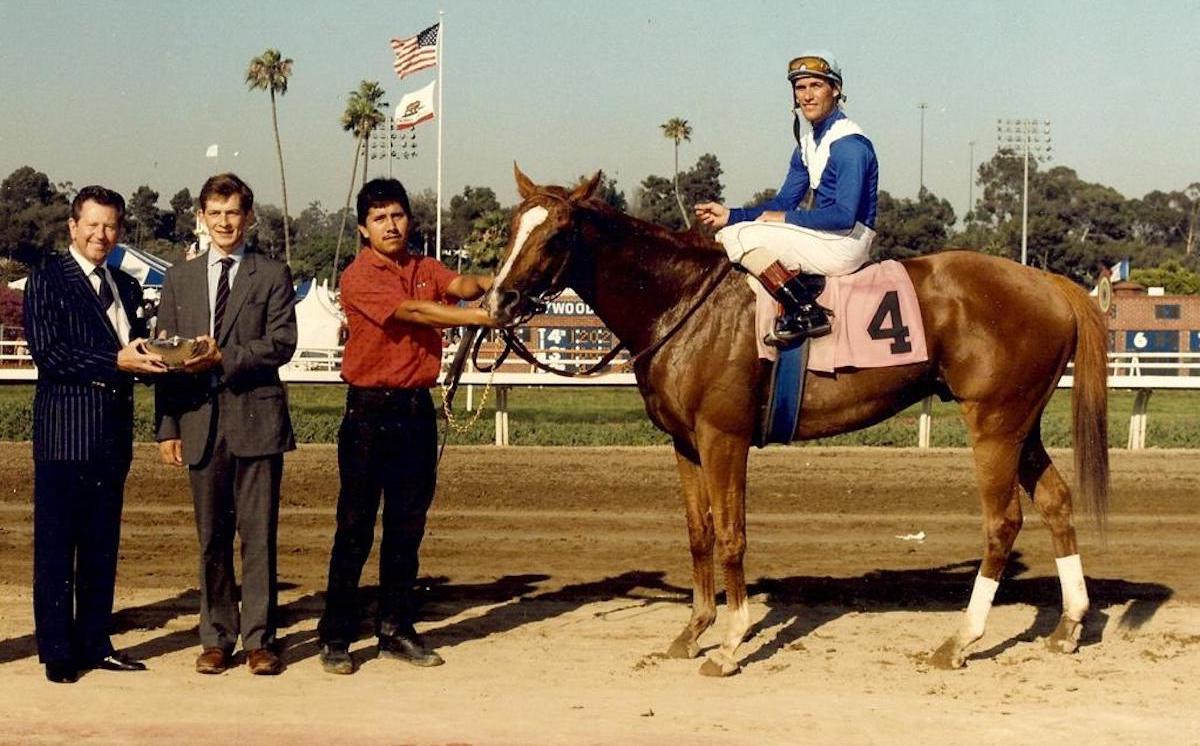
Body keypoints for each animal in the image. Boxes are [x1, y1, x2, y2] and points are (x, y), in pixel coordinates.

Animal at [484, 167, 1104, 676]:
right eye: (513, 227)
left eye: (557, 235)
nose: (498, 301)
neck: (683, 301)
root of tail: (1048, 282)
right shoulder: (685, 443)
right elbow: (698, 534)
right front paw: (692, 632)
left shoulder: (724, 438)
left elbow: (731, 536)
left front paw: (731, 643)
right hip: (1021, 424)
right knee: (1056, 501)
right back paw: (1068, 625)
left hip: (993, 425)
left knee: (1003, 523)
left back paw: (959, 641)